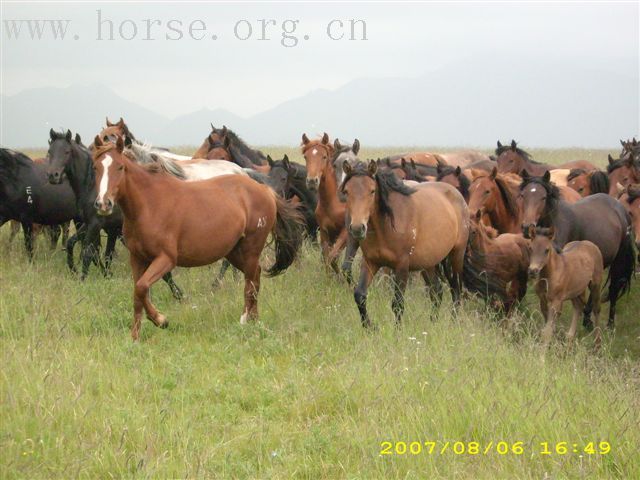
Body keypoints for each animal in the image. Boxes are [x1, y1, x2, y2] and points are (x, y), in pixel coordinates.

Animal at [46, 129, 182, 298]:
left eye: (66, 151)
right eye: (49, 152)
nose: (53, 175)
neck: (92, 186)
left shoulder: (96, 224)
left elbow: (88, 253)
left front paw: (82, 280)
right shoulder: (91, 224)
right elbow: (75, 245)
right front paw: (76, 270)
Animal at [91, 134, 304, 342]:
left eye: (120, 167)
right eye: (96, 167)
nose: (103, 204)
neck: (149, 204)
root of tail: (265, 190)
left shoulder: (166, 259)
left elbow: (143, 287)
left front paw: (161, 320)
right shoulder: (137, 258)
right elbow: (138, 294)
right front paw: (135, 338)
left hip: (251, 249)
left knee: (250, 283)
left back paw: (245, 321)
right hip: (234, 252)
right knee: (256, 276)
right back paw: (254, 320)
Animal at [340, 160, 470, 326]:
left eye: (372, 191)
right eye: (346, 191)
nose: (357, 228)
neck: (386, 225)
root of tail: (457, 195)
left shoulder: (402, 265)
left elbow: (398, 304)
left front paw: (397, 330)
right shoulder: (370, 262)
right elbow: (360, 295)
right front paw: (370, 326)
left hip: (456, 256)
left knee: (456, 291)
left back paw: (453, 323)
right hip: (428, 263)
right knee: (437, 291)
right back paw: (432, 322)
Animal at [520, 170, 636, 330]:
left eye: (543, 197)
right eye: (523, 195)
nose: (527, 227)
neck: (555, 223)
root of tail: (621, 209)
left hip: (618, 261)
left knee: (614, 288)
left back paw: (610, 324)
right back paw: (587, 319)